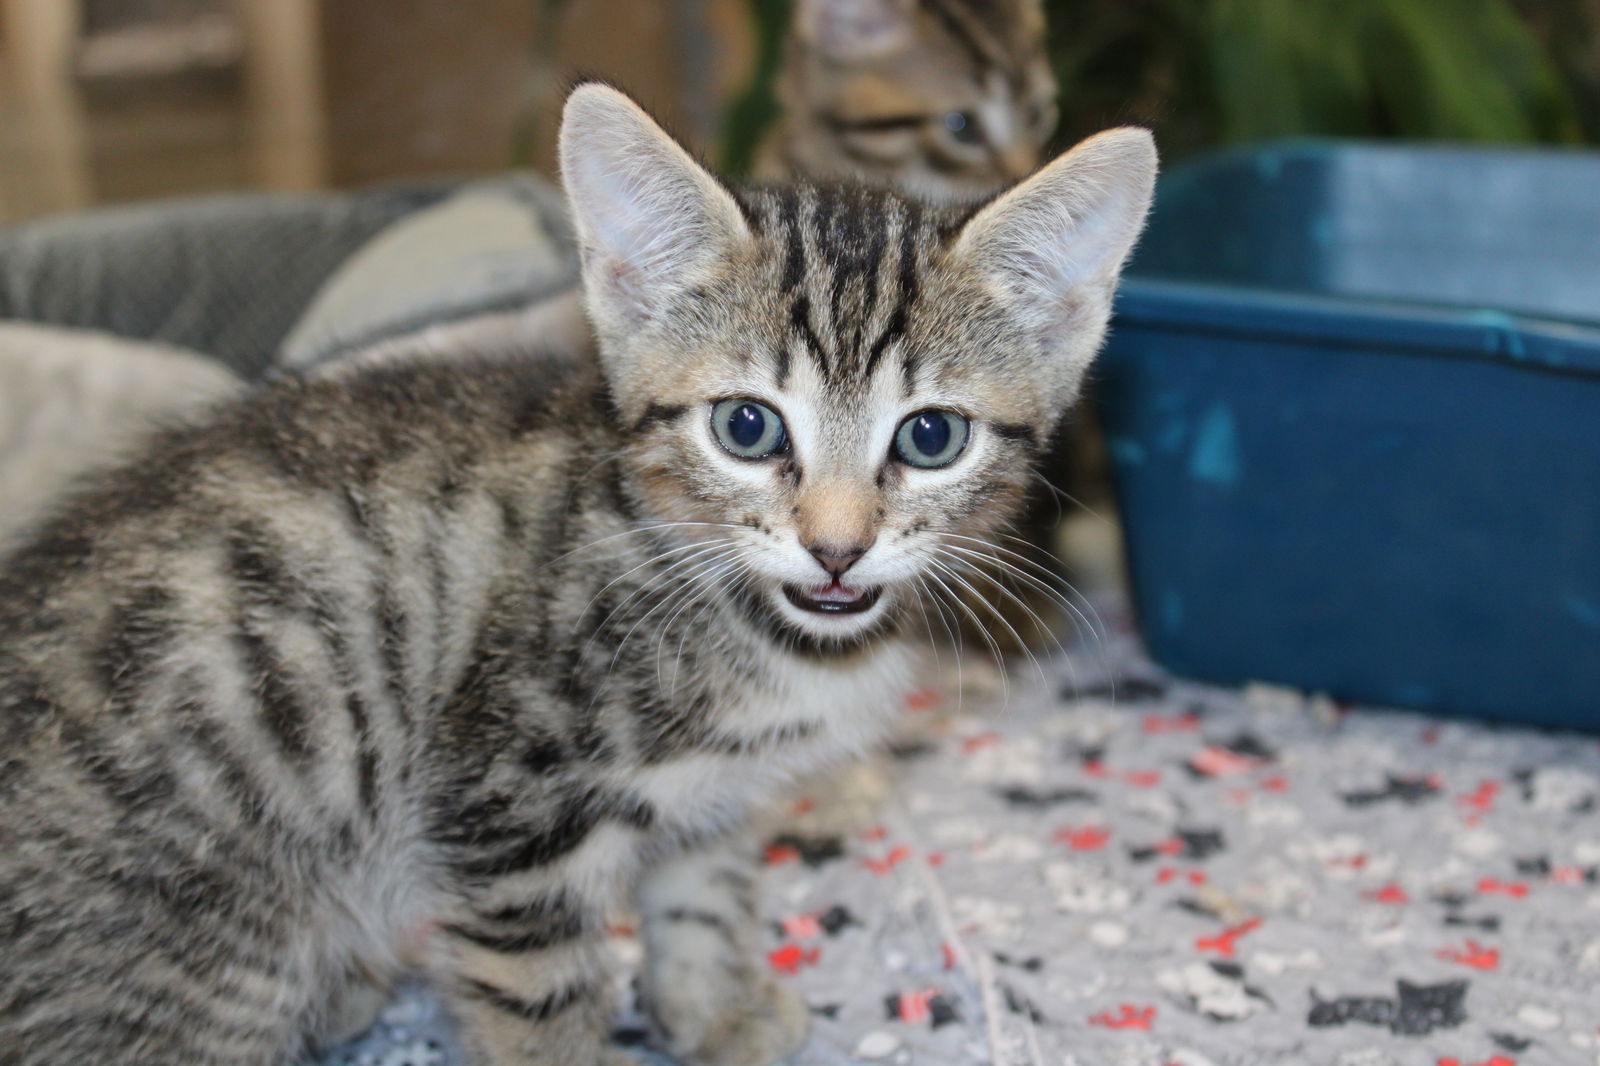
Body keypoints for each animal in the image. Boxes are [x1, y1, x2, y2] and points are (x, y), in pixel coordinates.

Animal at [0, 85, 1152, 1062]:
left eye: (930, 437)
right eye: (746, 426)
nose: (837, 547)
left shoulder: (716, 791)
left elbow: (706, 885)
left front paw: (711, 1005)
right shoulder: (507, 813)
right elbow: (539, 1001)